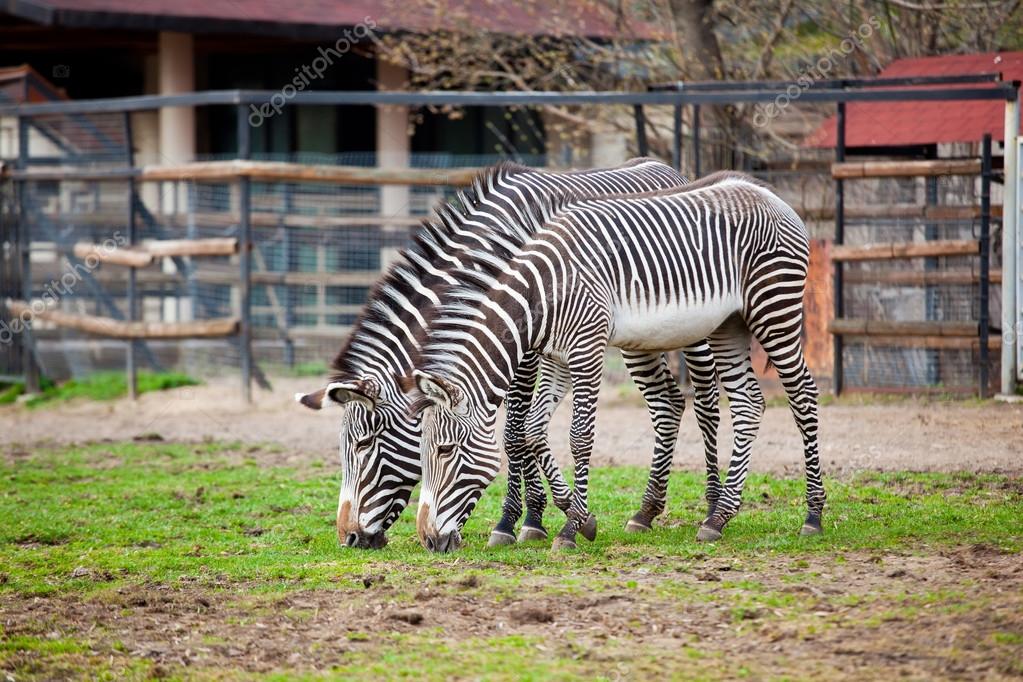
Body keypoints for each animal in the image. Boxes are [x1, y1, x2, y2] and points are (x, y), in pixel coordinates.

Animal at [296, 161, 728, 556]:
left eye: (365, 443)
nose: (349, 538)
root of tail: (667, 168)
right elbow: (523, 430)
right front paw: (541, 517)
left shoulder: (525, 342)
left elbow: (515, 433)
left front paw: (520, 521)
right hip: (639, 335)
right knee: (667, 403)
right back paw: (646, 512)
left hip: (697, 323)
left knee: (706, 403)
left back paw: (712, 510)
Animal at [407, 170, 822, 548]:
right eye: (421, 451)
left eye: (444, 450)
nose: (428, 539)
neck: (543, 292)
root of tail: (767, 194)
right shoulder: (557, 358)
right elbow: (533, 430)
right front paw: (580, 517)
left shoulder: (586, 351)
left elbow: (579, 437)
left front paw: (570, 529)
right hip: (728, 324)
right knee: (748, 404)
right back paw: (718, 517)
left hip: (774, 309)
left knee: (802, 395)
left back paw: (813, 515)